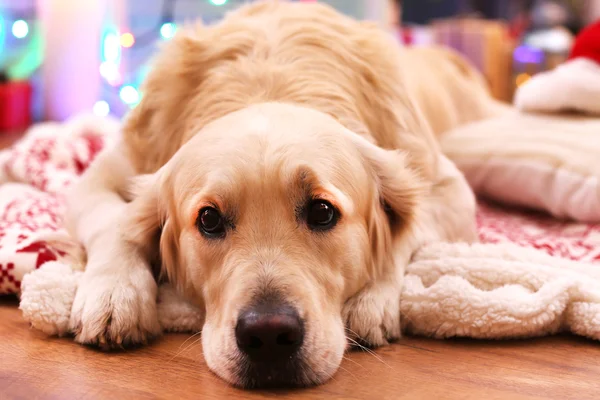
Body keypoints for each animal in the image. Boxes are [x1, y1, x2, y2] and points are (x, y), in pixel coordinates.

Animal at [65, 0, 506, 388]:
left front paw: (371, 300)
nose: (268, 336)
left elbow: (407, 233)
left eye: (323, 212)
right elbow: (115, 222)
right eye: (208, 219)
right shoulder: (104, 171)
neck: (272, 81)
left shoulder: (447, 189)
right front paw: (114, 294)